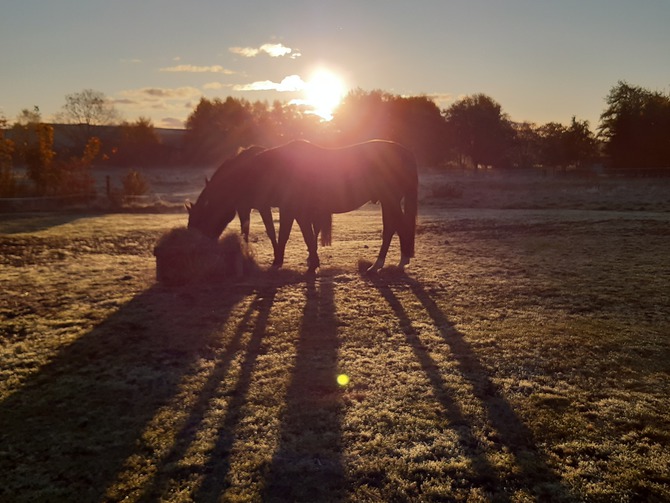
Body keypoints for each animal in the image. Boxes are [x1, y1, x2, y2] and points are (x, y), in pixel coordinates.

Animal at [189, 140, 418, 274]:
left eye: (200, 219)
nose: (202, 253)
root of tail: (405, 152)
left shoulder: (285, 208)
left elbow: (286, 234)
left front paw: (279, 262)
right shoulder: (293, 210)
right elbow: (300, 235)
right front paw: (308, 261)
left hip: (390, 199)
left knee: (397, 226)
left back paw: (390, 262)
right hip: (388, 200)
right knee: (392, 226)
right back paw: (385, 262)